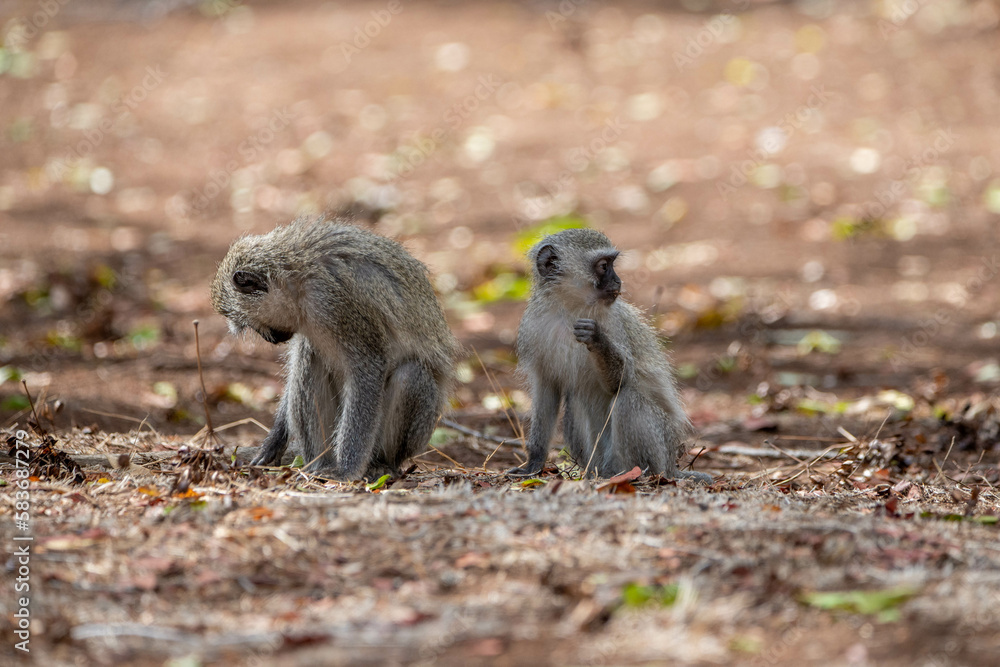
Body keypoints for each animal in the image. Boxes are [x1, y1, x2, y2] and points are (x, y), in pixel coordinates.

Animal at [211, 216, 459, 481]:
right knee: (309, 356)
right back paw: (317, 465)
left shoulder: (335, 302)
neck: (296, 274)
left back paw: (380, 465)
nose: (269, 338)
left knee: (410, 375)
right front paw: (272, 444)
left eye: (250, 324)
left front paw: (347, 470)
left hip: (416, 432)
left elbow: (368, 367)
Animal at [509, 228, 711, 483]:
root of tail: (672, 465)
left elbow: (619, 381)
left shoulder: (613, 323)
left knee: (628, 398)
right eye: (604, 266)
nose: (618, 280)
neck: (568, 309)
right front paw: (534, 462)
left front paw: (597, 339)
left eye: (612, 264)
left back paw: (637, 473)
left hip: (662, 445)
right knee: (575, 401)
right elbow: (547, 390)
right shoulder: (533, 327)